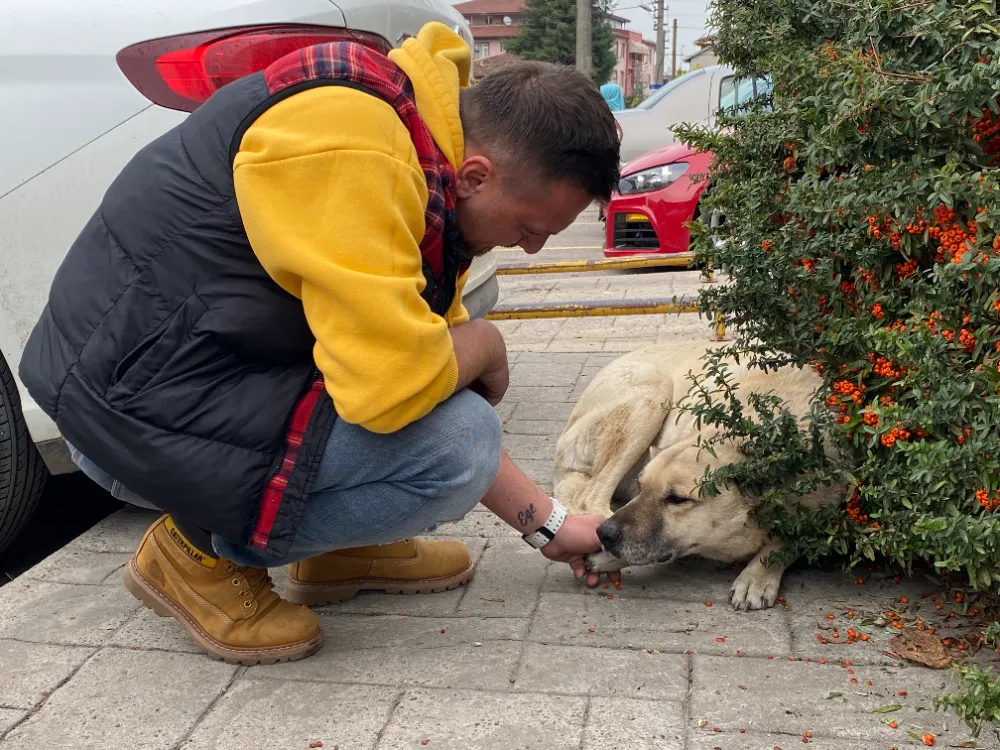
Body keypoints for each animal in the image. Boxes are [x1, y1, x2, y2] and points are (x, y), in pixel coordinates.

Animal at [552, 344, 840, 612]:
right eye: (641, 487)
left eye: (677, 499)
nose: (603, 534)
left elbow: (789, 540)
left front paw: (757, 575)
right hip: (653, 389)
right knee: (591, 497)